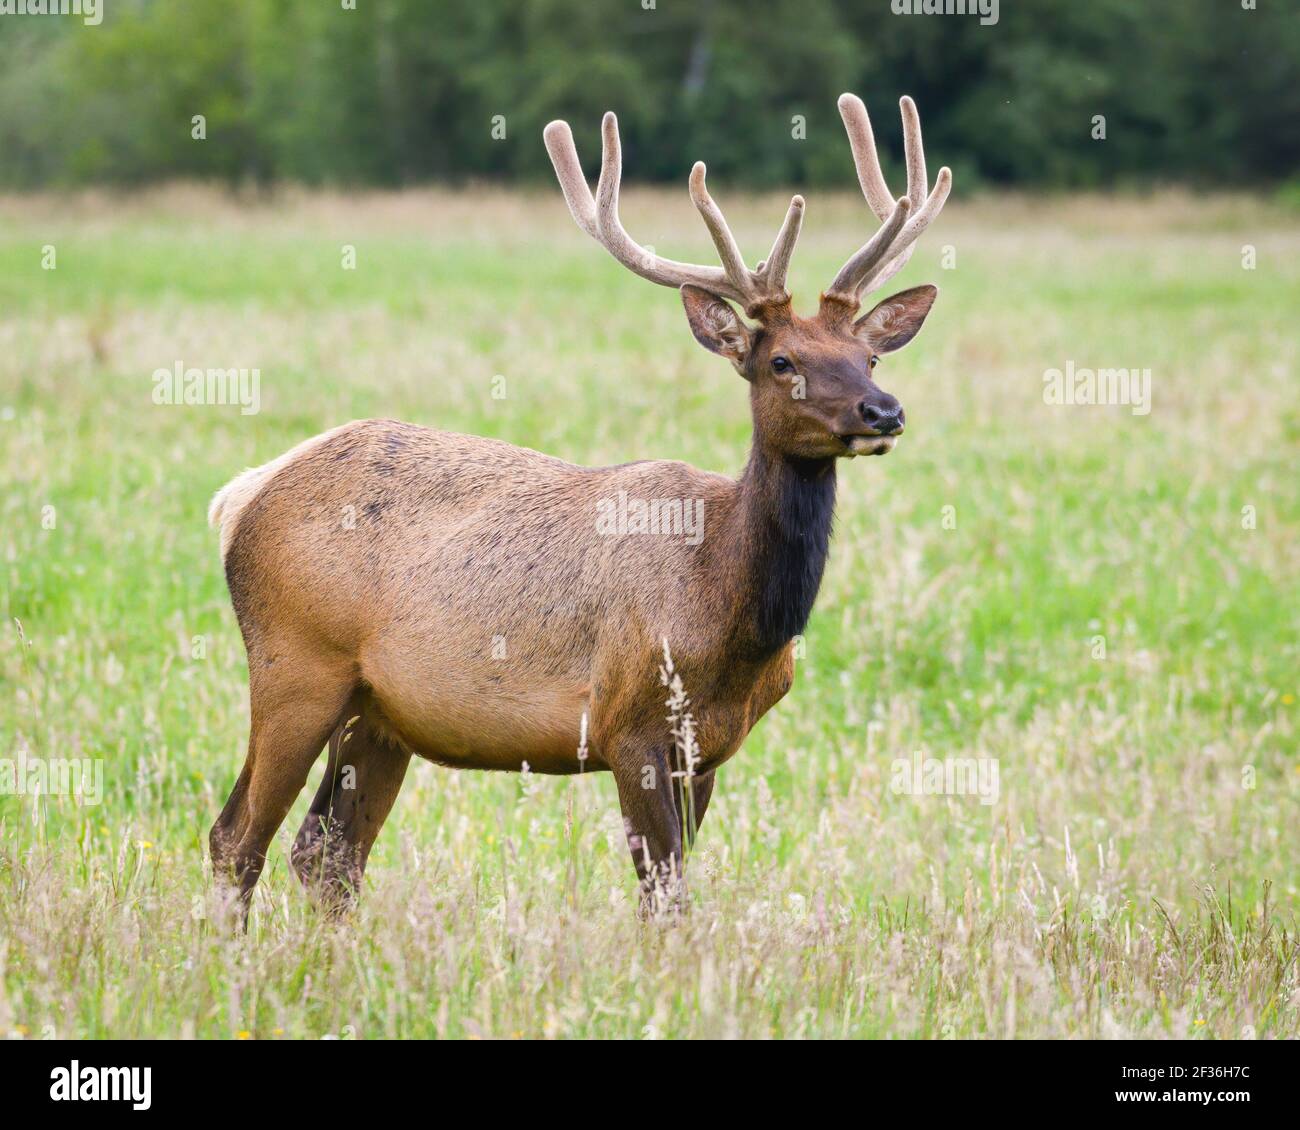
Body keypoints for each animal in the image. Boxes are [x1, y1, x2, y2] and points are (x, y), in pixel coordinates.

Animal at [208, 92, 951, 910]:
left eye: (869, 355)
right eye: (782, 361)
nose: (884, 411)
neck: (727, 609)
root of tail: (242, 495)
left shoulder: (711, 749)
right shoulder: (631, 723)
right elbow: (664, 896)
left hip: (378, 712)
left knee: (328, 854)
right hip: (294, 664)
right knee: (237, 838)